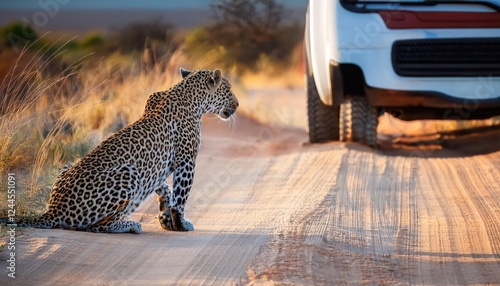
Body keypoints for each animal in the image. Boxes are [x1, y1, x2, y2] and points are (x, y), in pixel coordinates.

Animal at [2, 68, 238, 232]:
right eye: (228, 90)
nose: (237, 105)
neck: (192, 96)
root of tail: (53, 210)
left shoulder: (156, 167)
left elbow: (164, 187)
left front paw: (165, 216)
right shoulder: (186, 160)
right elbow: (181, 194)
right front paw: (180, 223)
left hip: (67, 166)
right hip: (128, 174)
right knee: (98, 226)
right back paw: (130, 225)